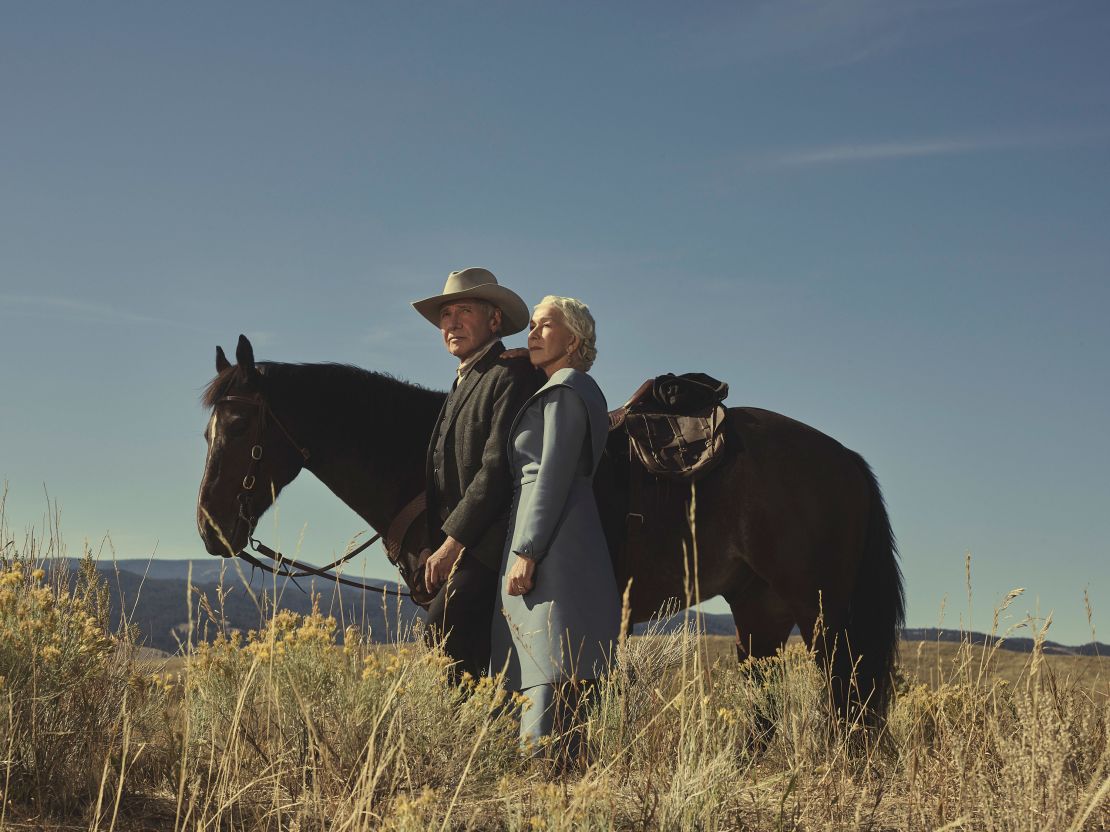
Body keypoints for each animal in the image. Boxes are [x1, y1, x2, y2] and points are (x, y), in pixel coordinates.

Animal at [197, 335, 901, 718]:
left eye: (238, 423)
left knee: (845, 696)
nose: (210, 528)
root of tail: (845, 459)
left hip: (822, 612)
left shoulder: (464, 606)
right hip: (760, 611)